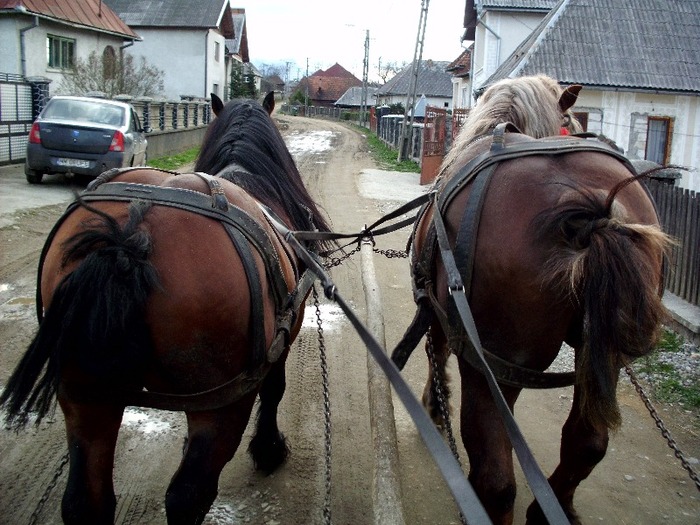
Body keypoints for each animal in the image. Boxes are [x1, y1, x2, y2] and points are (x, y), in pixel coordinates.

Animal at [0, 93, 334, 524]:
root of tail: (130, 236)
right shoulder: (283, 338)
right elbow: (275, 390)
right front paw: (268, 449)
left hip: (85, 395)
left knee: (85, 502)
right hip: (222, 406)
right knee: (187, 497)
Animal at [392, 74, 668, 524]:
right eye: (571, 122)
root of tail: (589, 212)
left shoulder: (440, 314)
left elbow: (438, 352)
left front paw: (434, 404)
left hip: (493, 364)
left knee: (496, 476)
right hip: (599, 357)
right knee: (585, 444)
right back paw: (552, 507)